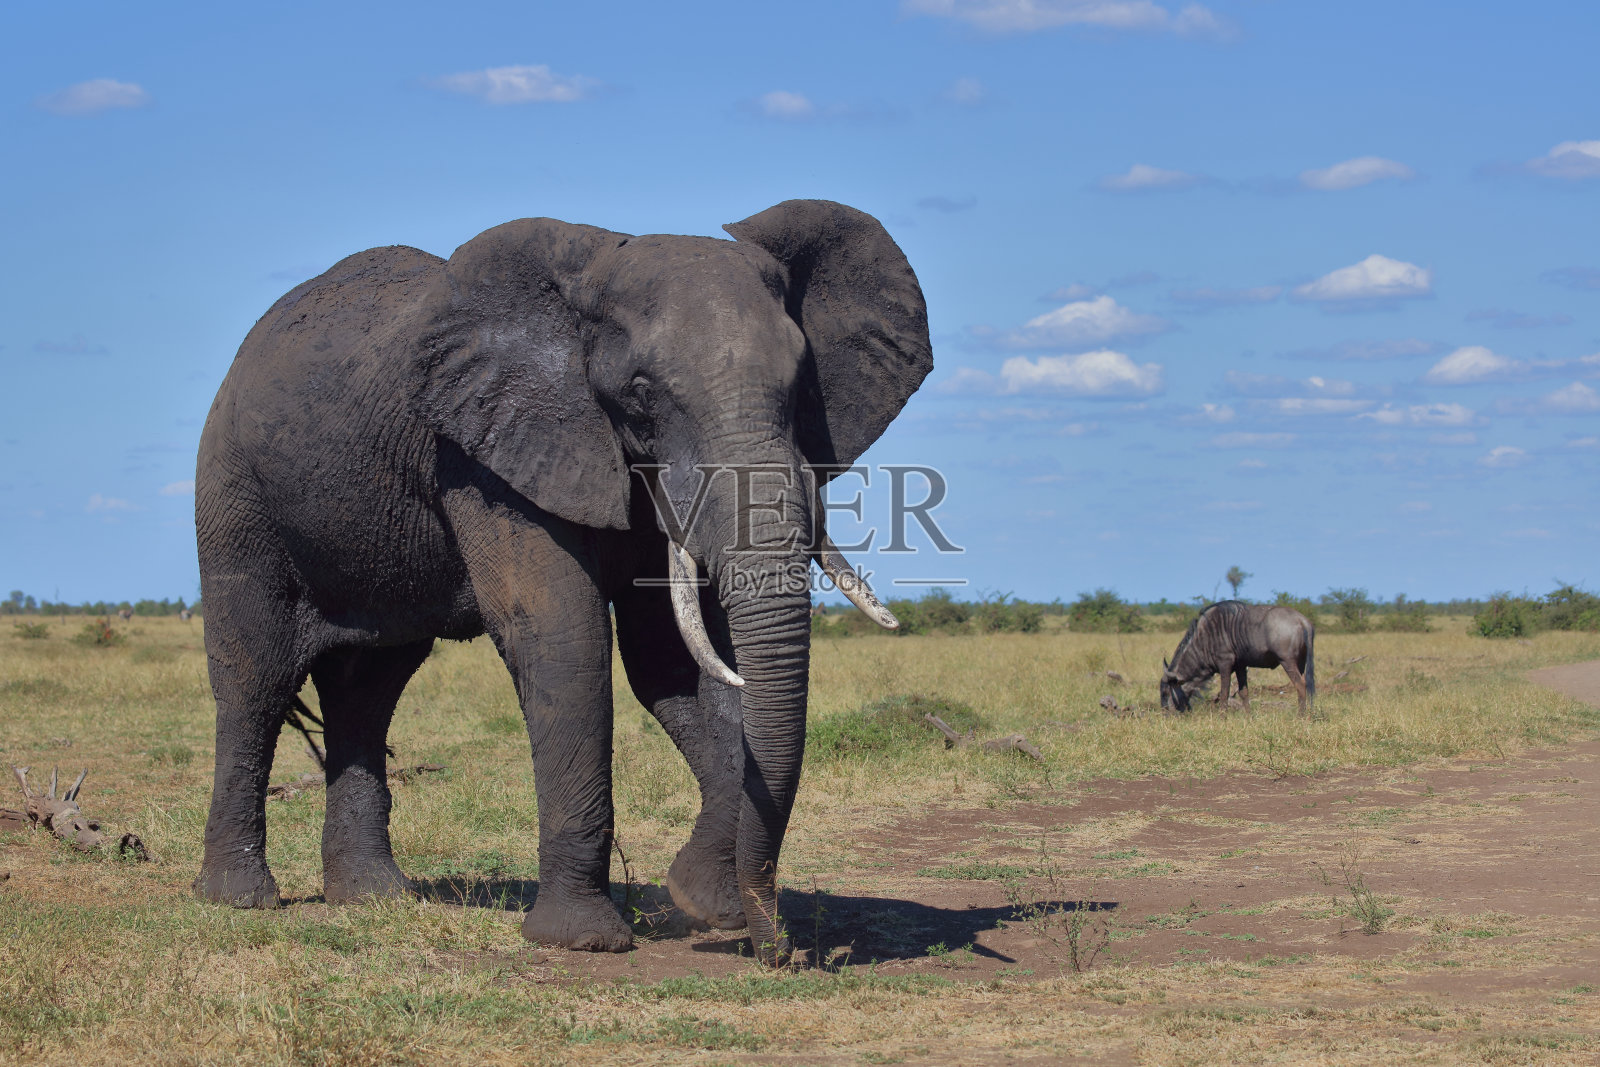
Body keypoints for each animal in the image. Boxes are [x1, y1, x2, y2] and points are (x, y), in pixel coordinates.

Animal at [192, 199, 932, 964]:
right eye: (641, 392)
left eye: (799, 386)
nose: (779, 950)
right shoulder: (486, 451)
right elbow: (563, 634)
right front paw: (585, 940)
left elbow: (670, 655)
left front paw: (704, 904)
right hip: (234, 494)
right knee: (255, 678)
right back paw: (239, 897)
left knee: (367, 690)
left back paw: (374, 898)